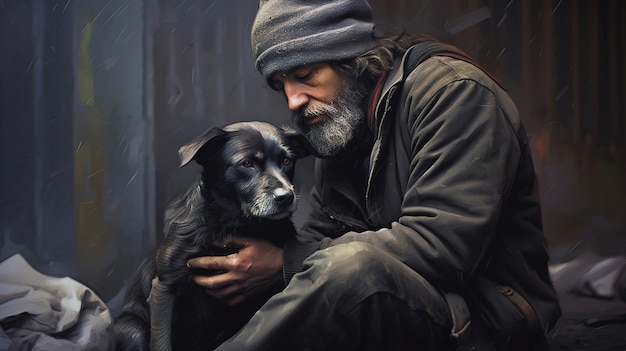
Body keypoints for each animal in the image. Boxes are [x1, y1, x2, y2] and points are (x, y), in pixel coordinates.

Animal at [112, 121, 312, 351]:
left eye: (287, 161)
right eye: (247, 163)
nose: (286, 197)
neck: (236, 224)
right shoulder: (165, 287)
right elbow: (162, 342)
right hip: (133, 330)